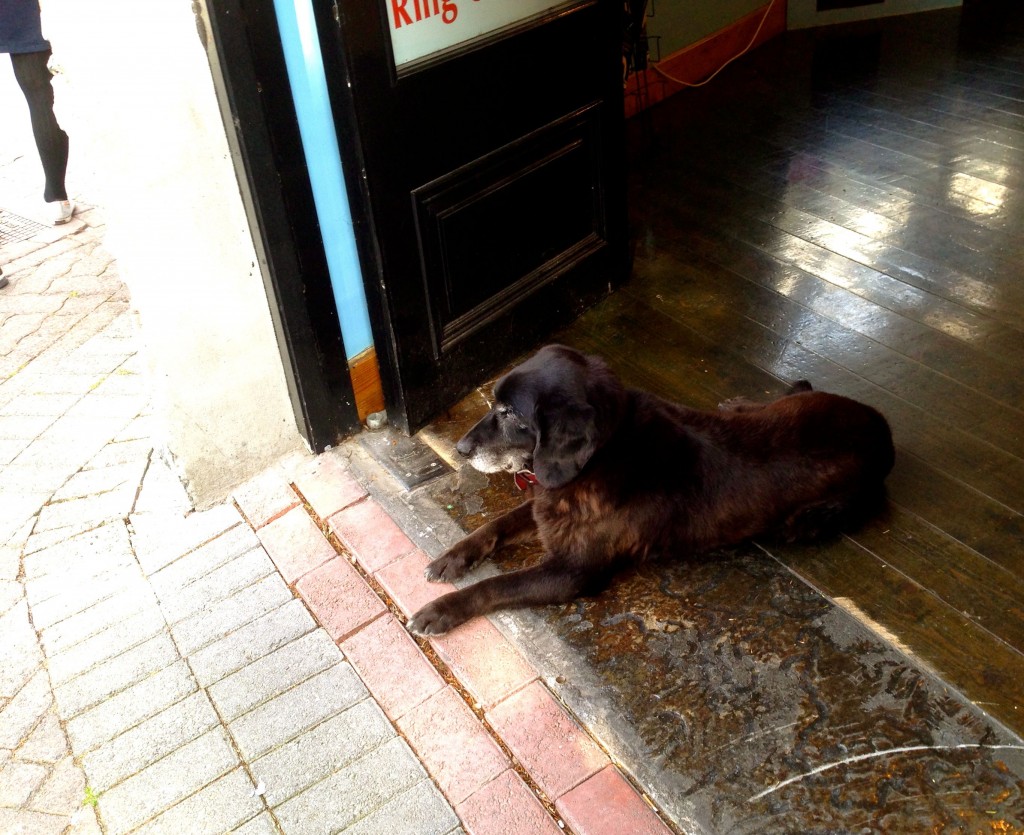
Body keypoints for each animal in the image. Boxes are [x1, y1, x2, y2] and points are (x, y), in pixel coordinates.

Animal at [403, 342, 892, 635]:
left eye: (509, 413)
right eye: (495, 405)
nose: (461, 448)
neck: (602, 454)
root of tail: (880, 425)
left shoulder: (572, 572)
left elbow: (498, 585)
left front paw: (442, 610)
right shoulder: (548, 506)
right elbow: (495, 525)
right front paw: (451, 558)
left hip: (819, 512)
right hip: (787, 407)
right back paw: (742, 401)